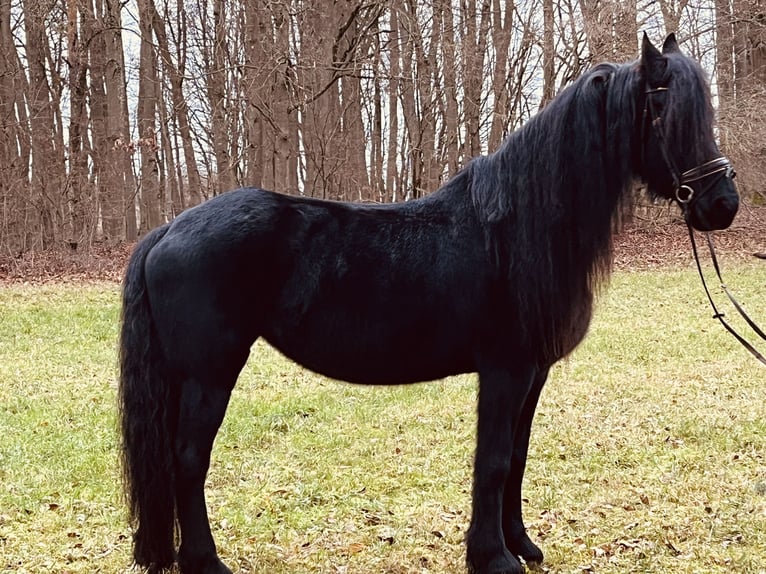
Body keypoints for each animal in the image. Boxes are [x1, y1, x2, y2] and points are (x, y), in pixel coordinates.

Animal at [118, 33, 736, 572]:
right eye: (665, 114)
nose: (722, 203)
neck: (518, 228)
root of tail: (170, 228)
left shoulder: (533, 374)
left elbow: (516, 458)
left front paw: (522, 546)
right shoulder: (506, 370)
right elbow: (491, 461)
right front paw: (492, 558)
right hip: (209, 374)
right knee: (188, 460)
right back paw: (206, 562)